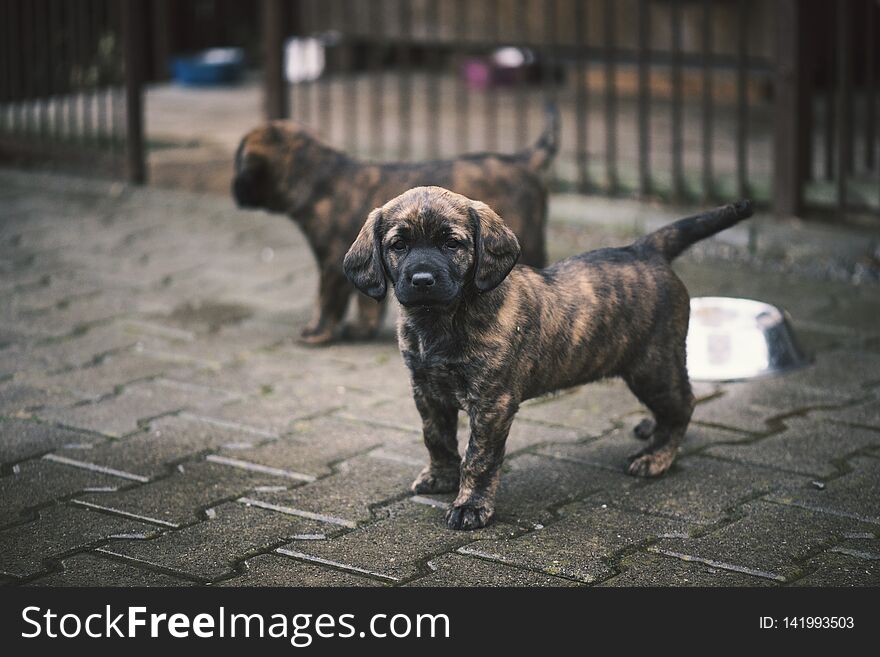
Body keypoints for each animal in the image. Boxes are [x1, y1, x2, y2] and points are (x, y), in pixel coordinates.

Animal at [229, 107, 556, 344]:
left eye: (241, 162)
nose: (233, 189)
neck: (317, 176)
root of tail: (523, 160)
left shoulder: (331, 263)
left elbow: (325, 300)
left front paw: (317, 332)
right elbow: (366, 301)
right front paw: (362, 329)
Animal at [342, 184, 748, 528]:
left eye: (451, 243)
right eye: (399, 245)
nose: (422, 280)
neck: (443, 320)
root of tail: (644, 249)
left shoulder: (492, 402)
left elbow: (479, 458)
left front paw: (470, 505)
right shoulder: (427, 390)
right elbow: (436, 437)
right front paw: (441, 476)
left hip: (653, 365)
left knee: (684, 405)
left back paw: (656, 456)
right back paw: (651, 429)